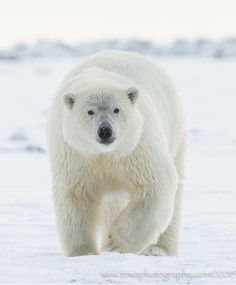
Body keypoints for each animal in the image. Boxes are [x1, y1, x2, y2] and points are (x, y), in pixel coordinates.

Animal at [46, 50, 186, 256]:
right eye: (90, 111)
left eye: (116, 109)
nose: (105, 131)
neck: (104, 154)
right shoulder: (75, 155)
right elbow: (74, 196)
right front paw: (84, 252)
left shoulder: (136, 148)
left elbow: (156, 183)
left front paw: (116, 243)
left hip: (174, 131)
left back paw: (158, 249)